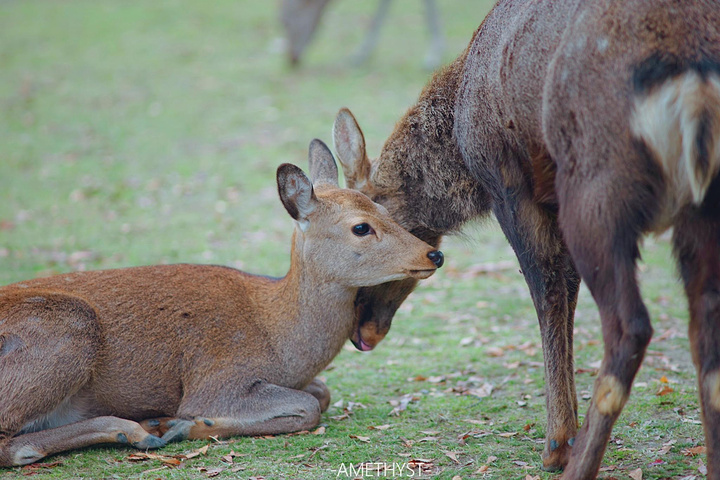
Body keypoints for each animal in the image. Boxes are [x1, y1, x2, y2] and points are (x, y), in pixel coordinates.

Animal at [0, 140, 444, 468]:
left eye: (383, 207)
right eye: (361, 227)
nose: (433, 255)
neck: (279, 340)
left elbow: (321, 393)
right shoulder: (216, 378)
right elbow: (307, 406)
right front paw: (189, 424)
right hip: (69, 329)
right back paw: (140, 429)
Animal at [330, 1, 720, 478]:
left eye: (364, 228)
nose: (360, 331)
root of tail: (695, 81)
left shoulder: (509, 183)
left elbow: (546, 290)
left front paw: (558, 443)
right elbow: (566, 288)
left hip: (597, 187)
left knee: (630, 326)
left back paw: (578, 464)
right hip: (698, 206)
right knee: (705, 330)